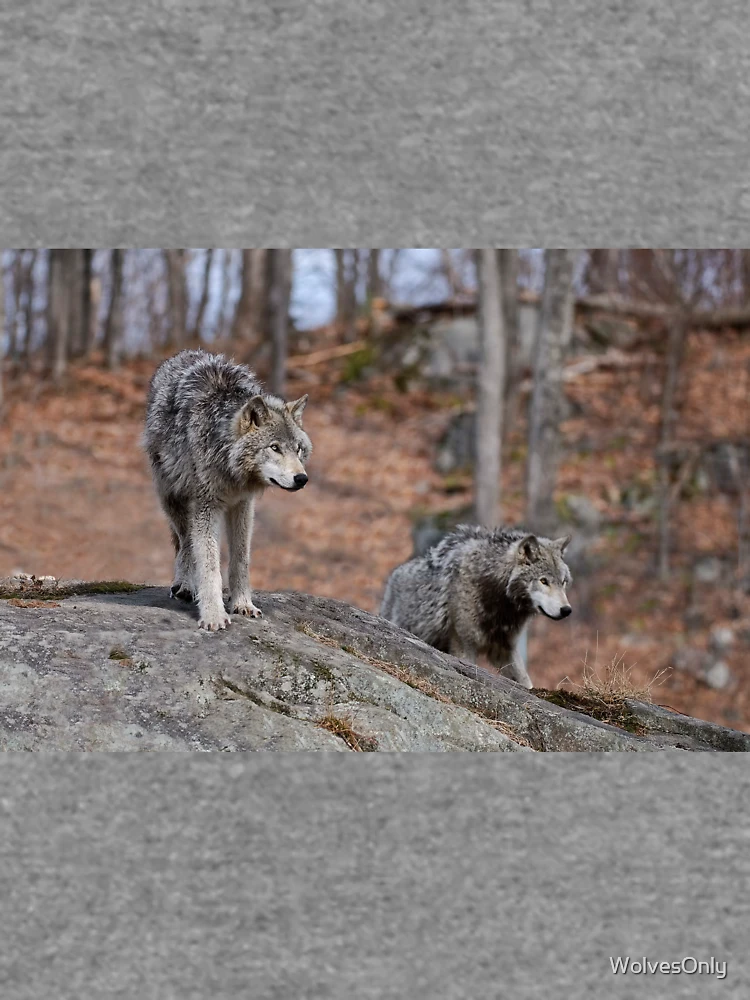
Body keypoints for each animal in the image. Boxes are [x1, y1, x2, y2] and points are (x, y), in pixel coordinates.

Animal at [143, 349, 312, 631]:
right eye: (274, 447)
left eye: (298, 449)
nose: (302, 479)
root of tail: (185, 353)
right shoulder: (206, 507)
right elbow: (209, 565)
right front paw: (213, 615)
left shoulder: (243, 505)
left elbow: (240, 560)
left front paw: (243, 604)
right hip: (174, 499)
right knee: (185, 544)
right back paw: (185, 585)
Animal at [380, 525, 572, 688]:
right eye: (543, 581)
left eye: (563, 582)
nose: (567, 610)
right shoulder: (464, 645)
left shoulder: (505, 649)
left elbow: (526, 682)